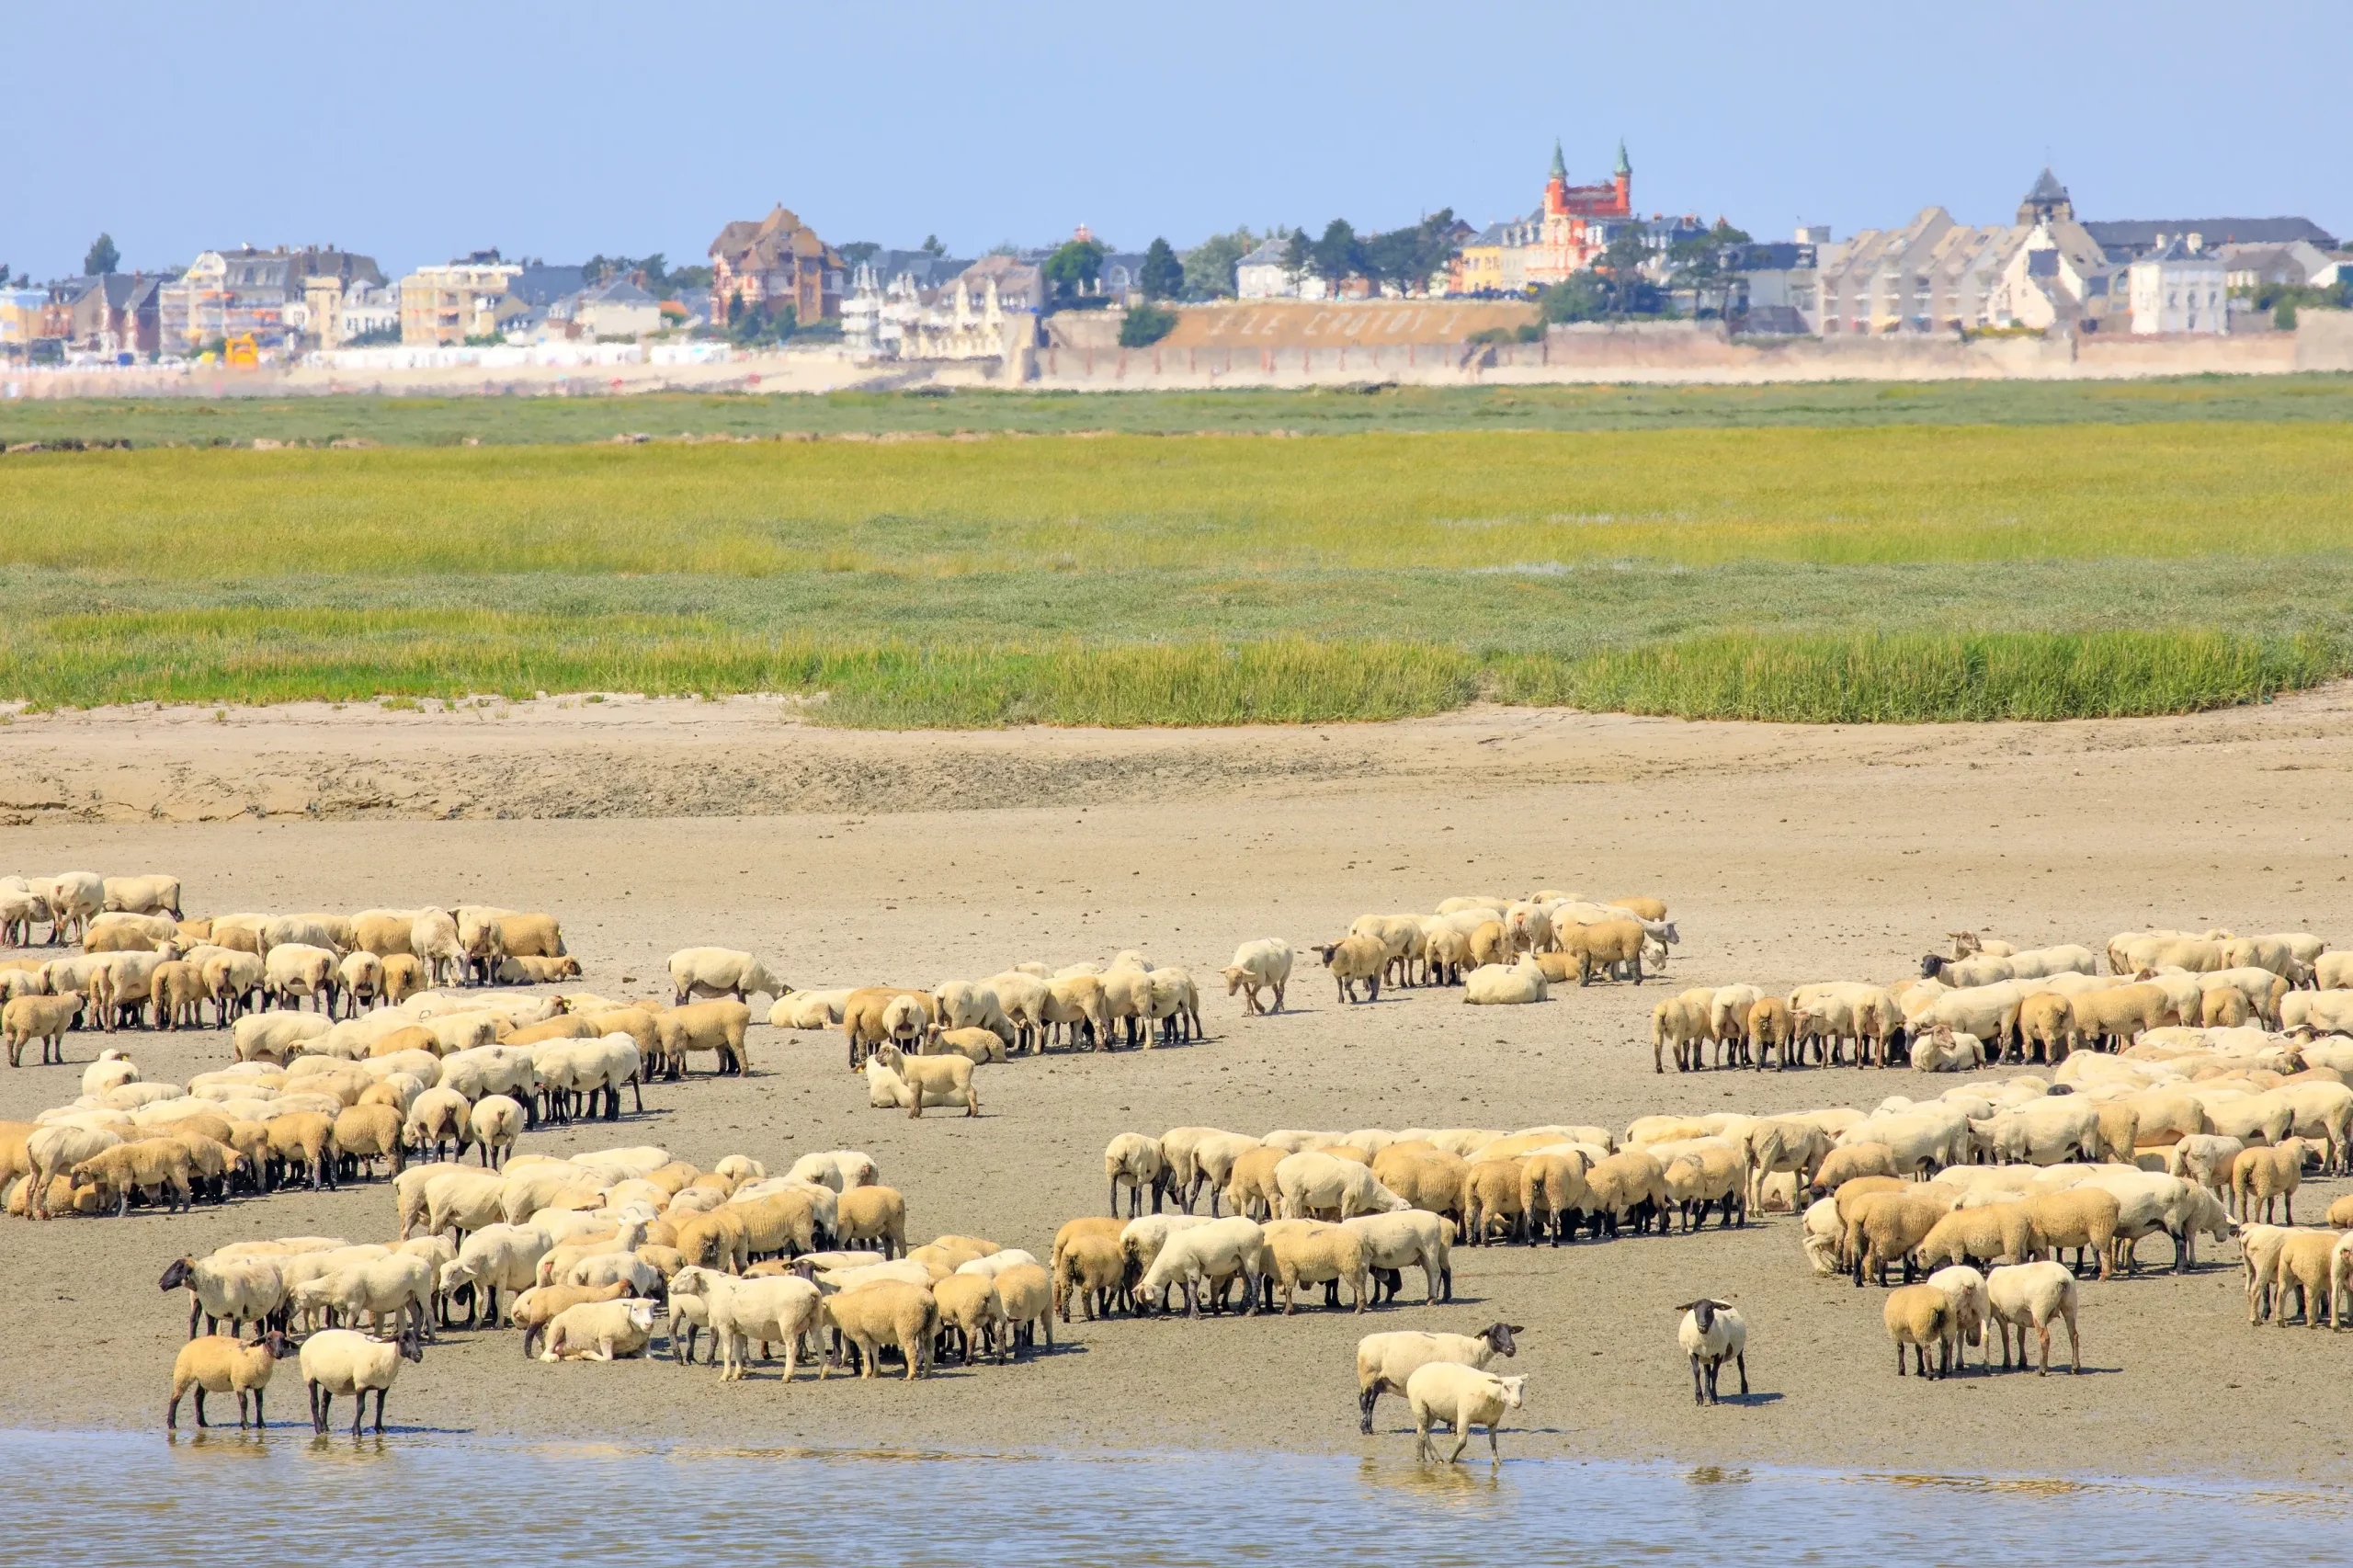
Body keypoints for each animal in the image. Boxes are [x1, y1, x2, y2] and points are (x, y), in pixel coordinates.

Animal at [1408, 1364, 1528, 1464]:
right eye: (1506, 1387)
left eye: (1522, 1387)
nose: (1518, 1403)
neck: (1490, 1393)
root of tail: (1417, 1371)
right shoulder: (1464, 1415)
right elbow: (1462, 1442)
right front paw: (1450, 1459)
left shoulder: (1493, 1420)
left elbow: (1493, 1441)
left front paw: (1497, 1462)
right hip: (1419, 1405)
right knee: (1424, 1432)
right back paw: (1437, 1458)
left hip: (1431, 1412)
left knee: (1421, 1431)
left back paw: (1421, 1458)